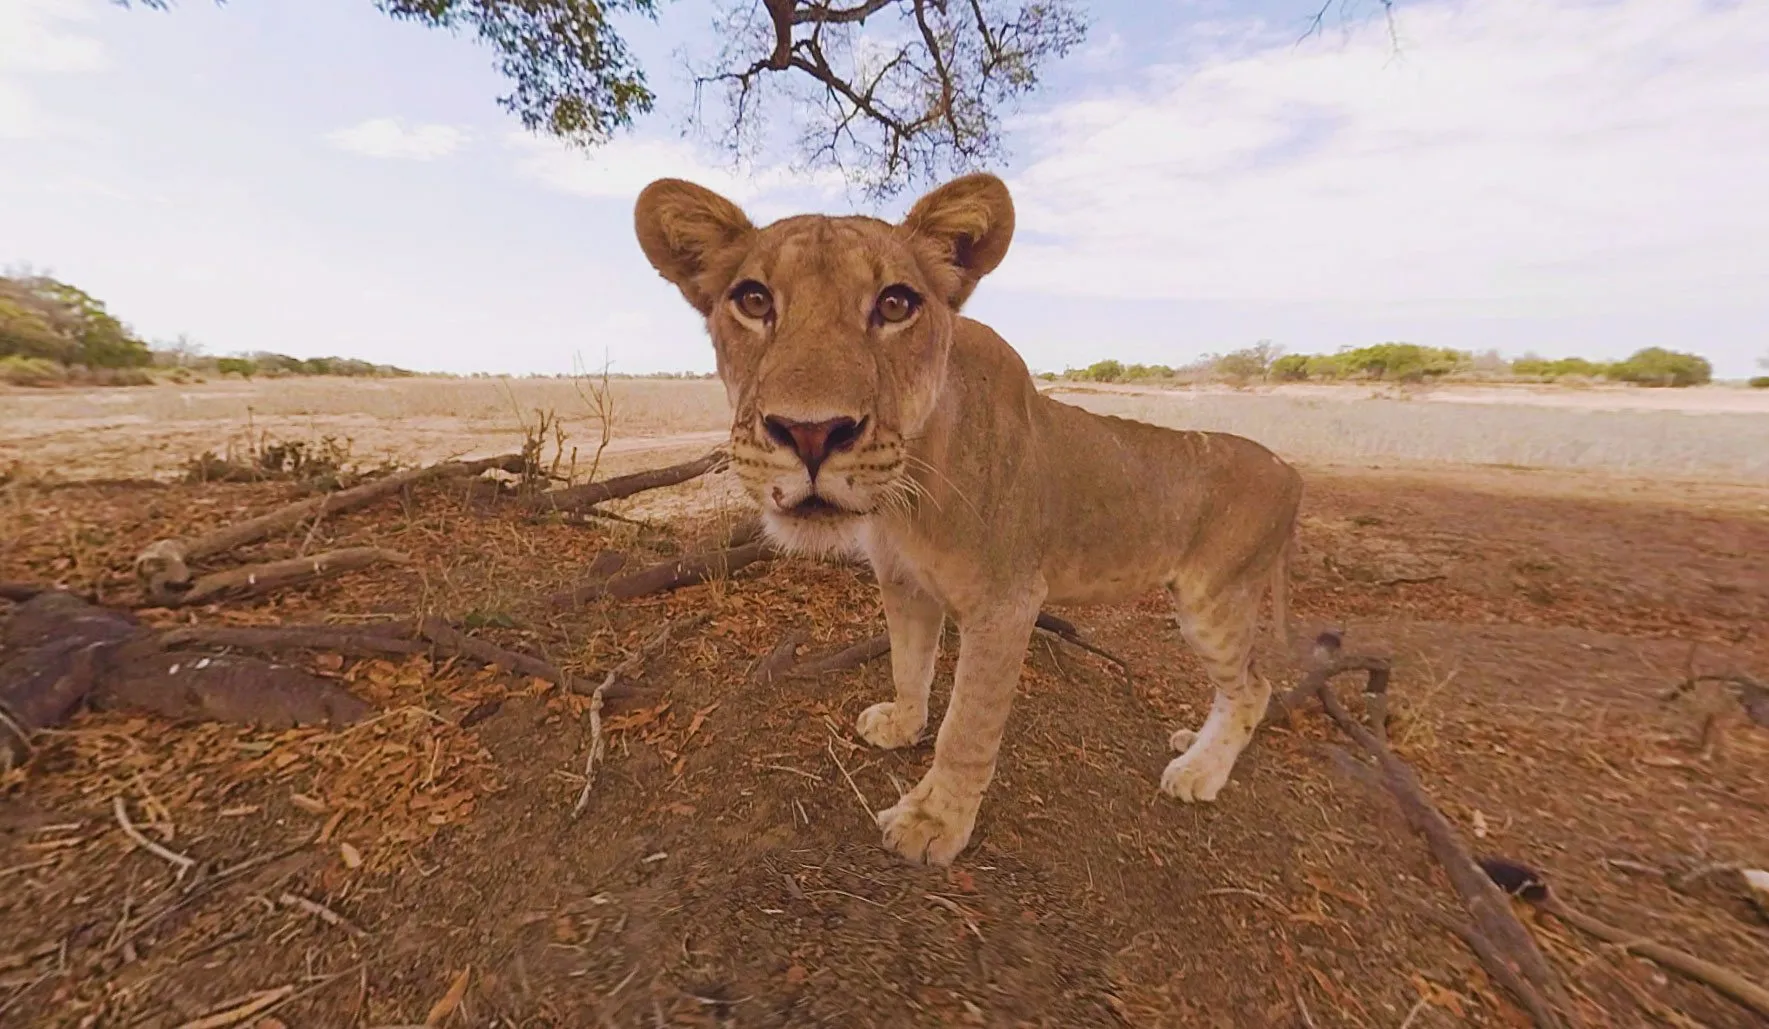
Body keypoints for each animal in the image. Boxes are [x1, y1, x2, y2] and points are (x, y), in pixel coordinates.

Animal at [633, 172, 1302, 867]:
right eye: (754, 300)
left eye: (895, 305)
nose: (812, 433)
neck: (912, 492)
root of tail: (1291, 469)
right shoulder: (903, 581)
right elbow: (908, 663)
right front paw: (901, 723)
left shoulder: (1008, 603)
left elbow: (968, 726)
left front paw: (933, 820)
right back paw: (1192, 744)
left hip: (1214, 602)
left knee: (1254, 688)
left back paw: (1199, 772)